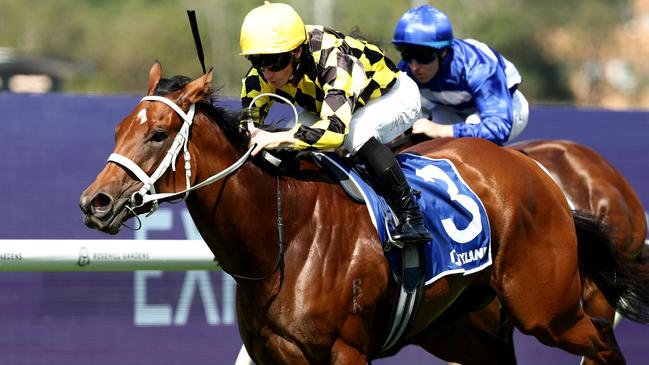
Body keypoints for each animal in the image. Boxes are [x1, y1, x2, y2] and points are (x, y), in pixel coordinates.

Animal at [81, 62, 648, 362]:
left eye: (158, 134)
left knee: (602, 340)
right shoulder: (276, 354)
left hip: (545, 307)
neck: (285, 240)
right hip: (464, 327)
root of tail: (538, 173)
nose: (95, 202)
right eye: (118, 130)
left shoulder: (346, 349)